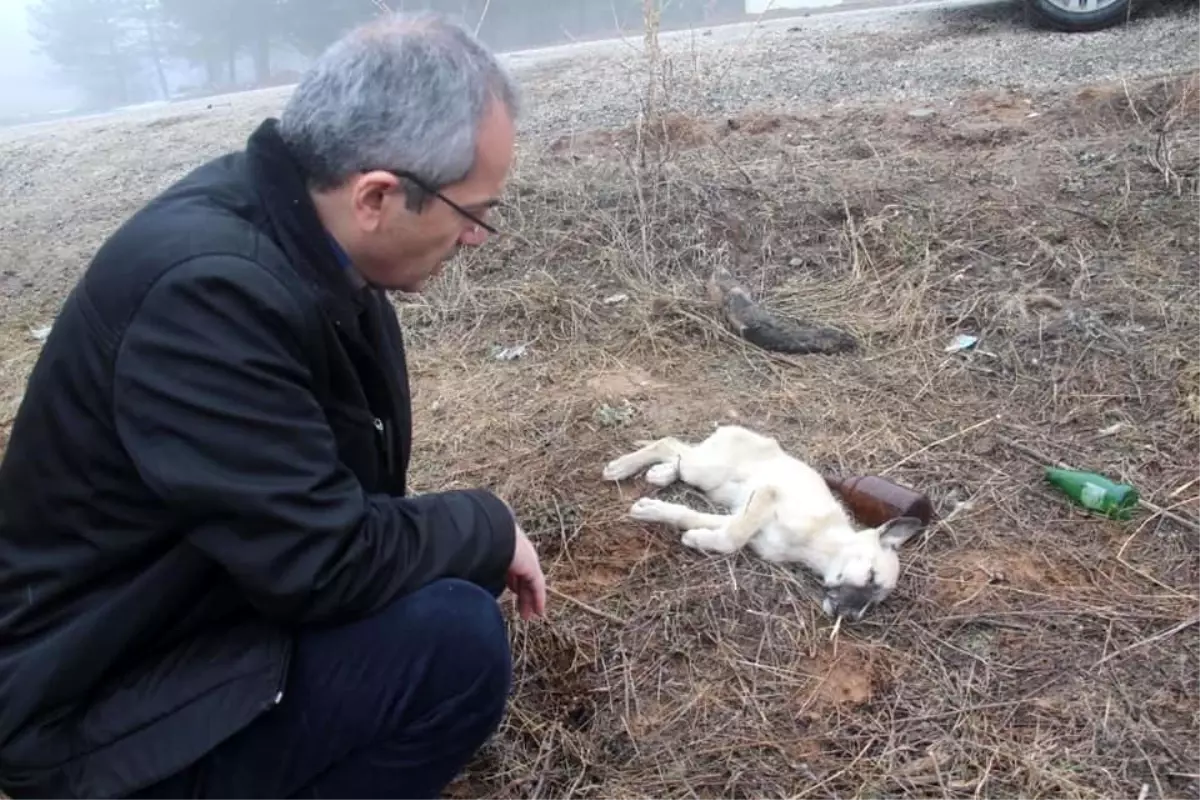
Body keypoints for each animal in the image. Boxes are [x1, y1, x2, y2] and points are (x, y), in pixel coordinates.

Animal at [604, 424, 921, 618]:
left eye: (875, 602)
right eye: (870, 577)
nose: (851, 618)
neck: (820, 543)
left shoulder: (742, 519)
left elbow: (699, 520)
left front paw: (678, 525)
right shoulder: (766, 495)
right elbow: (732, 539)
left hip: (707, 477)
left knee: (678, 456)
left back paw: (662, 473)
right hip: (707, 471)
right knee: (668, 443)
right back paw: (622, 466)